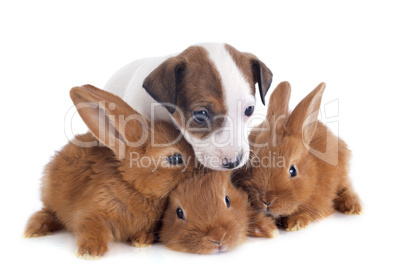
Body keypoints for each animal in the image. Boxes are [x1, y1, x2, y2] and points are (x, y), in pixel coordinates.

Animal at [24, 85, 196, 260]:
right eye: (175, 158)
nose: (196, 169)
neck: (133, 186)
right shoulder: (94, 211)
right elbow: (91, 228)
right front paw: (89, 252)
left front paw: (142, 240)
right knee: (48, 212)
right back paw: (35, 229)